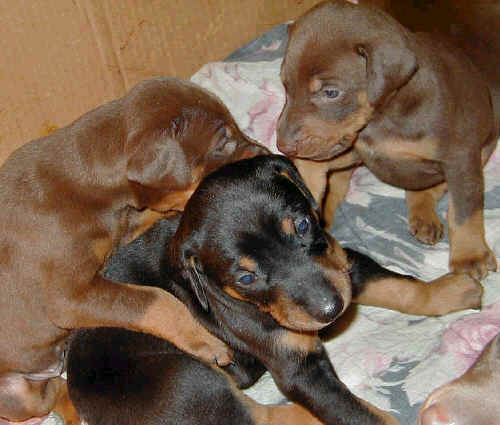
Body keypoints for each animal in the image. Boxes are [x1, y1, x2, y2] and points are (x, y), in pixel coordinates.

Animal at [0, 74, 268, 422]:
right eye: (223, 142)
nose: (269, 153)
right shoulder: (67, 297)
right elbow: (154, 299)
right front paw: (203, 341)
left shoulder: (123, 225)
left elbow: (151, 214)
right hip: (15, 396)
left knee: (59, 391)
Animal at [276, 0, 498, 280]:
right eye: (286, 85)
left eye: (331, 92)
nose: (282, 145)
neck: (381, 118)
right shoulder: (347, 148)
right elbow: (311, 170)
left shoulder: (460, 157)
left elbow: (464, 210)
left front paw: (470, 256)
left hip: (484, 147)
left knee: (431, 187)